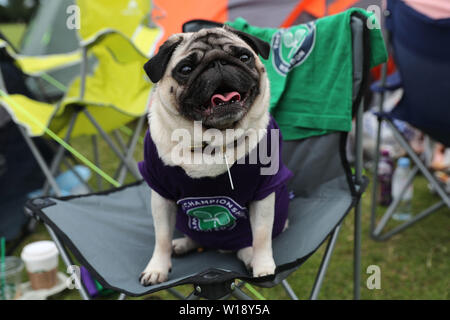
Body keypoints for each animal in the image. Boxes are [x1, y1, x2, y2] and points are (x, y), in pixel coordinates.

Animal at [138, 25, 292, 284]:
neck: (213, 143)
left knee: (245, 244)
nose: (217, 63)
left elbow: (261, 236)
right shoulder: (161, 196)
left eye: (244, 57)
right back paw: (181, 245)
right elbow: (161, 237)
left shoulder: (263, 193)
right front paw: (157, 267)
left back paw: (248, 256)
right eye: (186, 69)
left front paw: (263, 267)